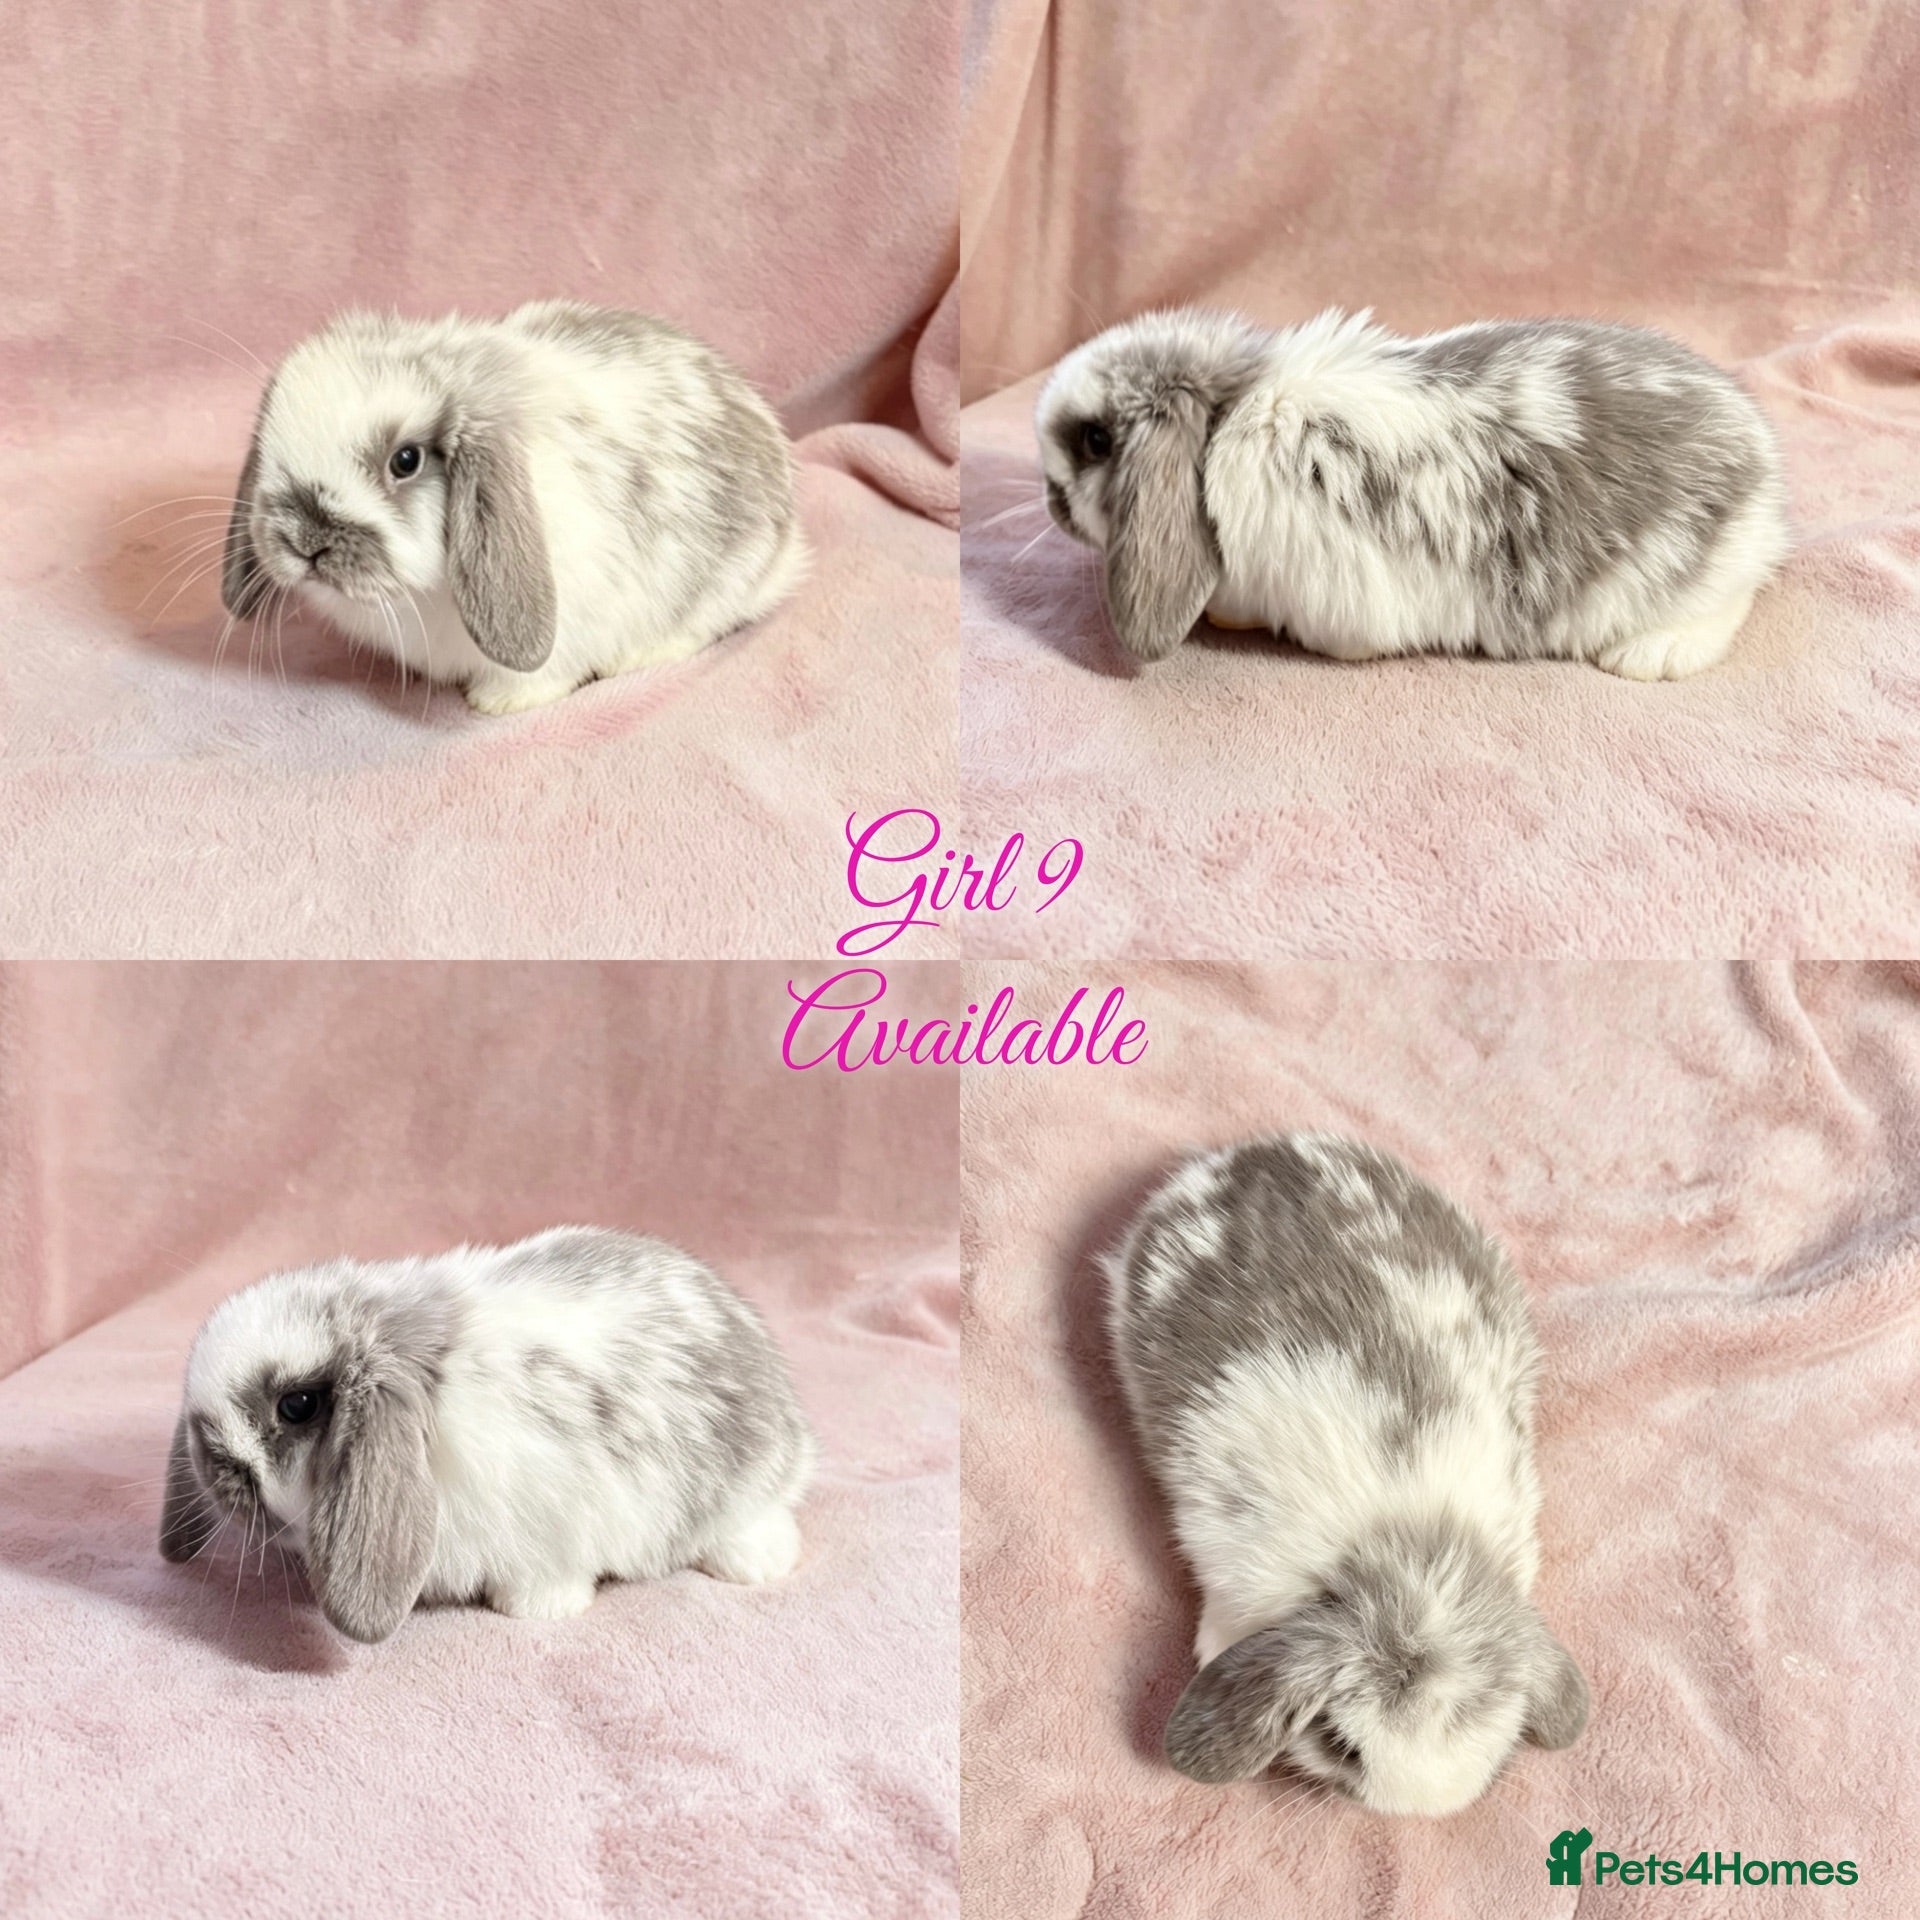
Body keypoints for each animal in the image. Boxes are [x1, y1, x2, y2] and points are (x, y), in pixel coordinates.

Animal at [1036, 305, 1789, 679]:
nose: (1049, 501)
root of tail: (1764, 464)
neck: (1227, 418)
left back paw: (1646, 659)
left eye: (1095, 440)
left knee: (1728, 607)